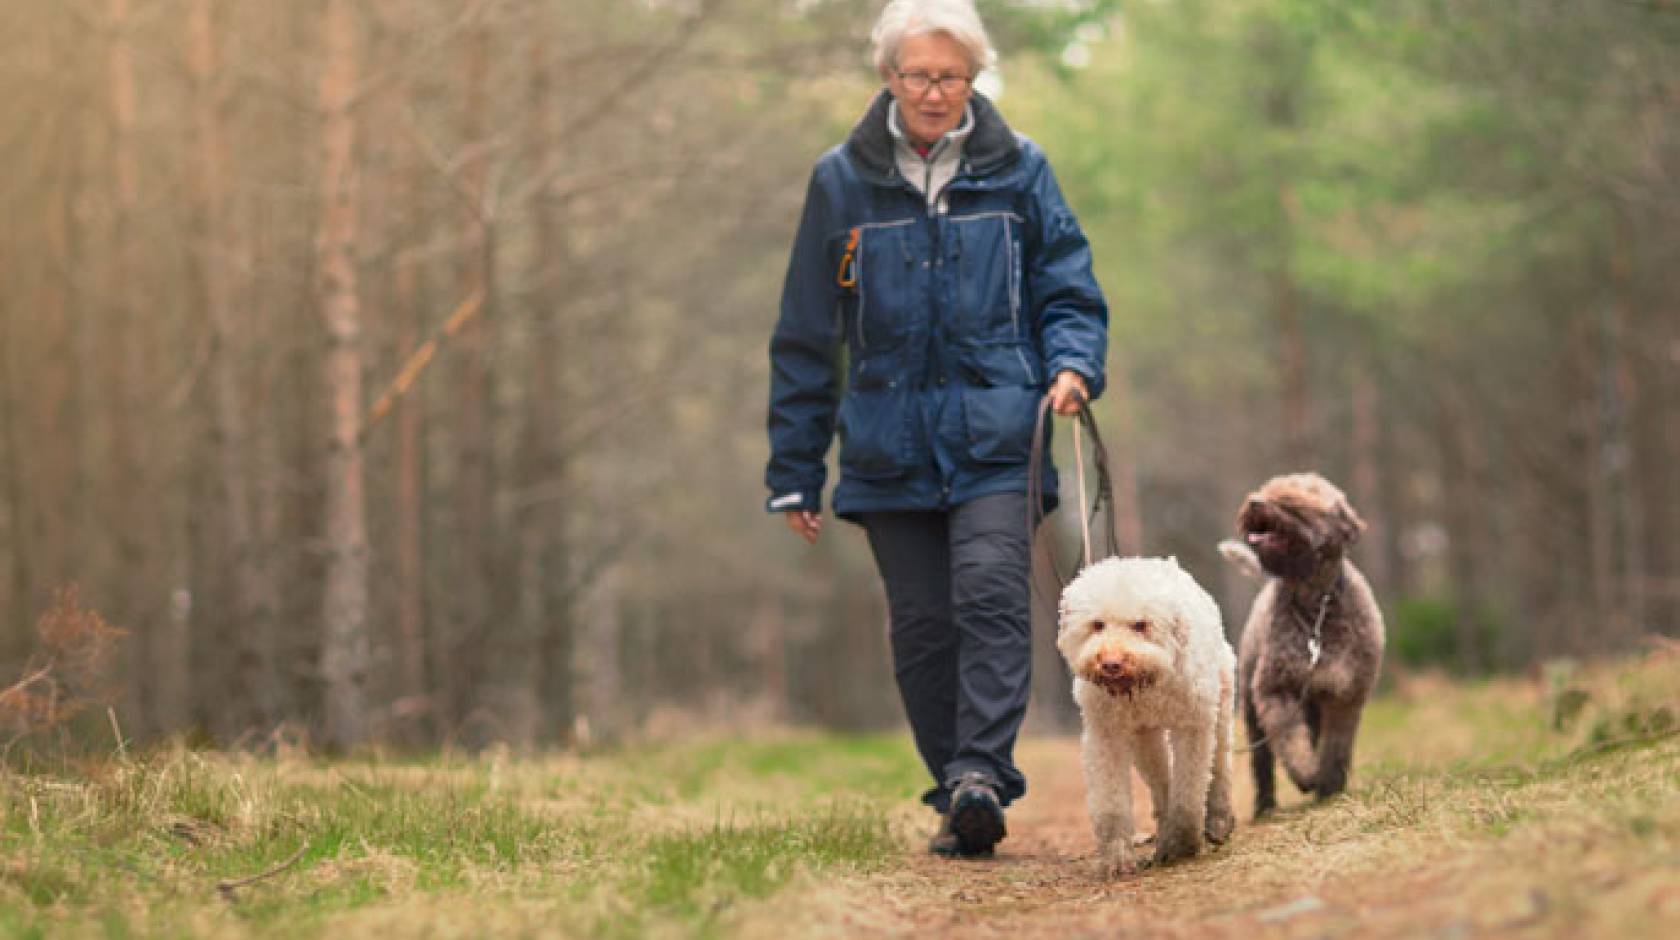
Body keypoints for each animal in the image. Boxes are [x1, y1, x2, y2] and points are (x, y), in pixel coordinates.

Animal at [1055, 557, 1243, 872]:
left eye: (1141, 625)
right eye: (1097, 624)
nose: (1111, 664)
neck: (1146, 684)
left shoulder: (1193, 727)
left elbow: (1189, 792)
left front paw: (1184, 842)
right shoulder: (1105, 734)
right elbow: (1111, 801)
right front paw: (1117, 856)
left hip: (1221, 706)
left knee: (1219, 766)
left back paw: (1217, 819)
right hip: (1145, 739)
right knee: (1161, 780)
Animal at [1229, 470, 1384, 815]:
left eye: (1290, 501)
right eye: (1266, 490)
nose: (1254, 502)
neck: (1316, 609)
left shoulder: (1345, 694)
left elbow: (1337, 746)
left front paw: (1330, 785)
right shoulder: (1276, 690)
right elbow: (1290, 740)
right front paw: (1306, 774)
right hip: (1252, 708)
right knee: (1262, 762)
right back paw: (1265, 806)